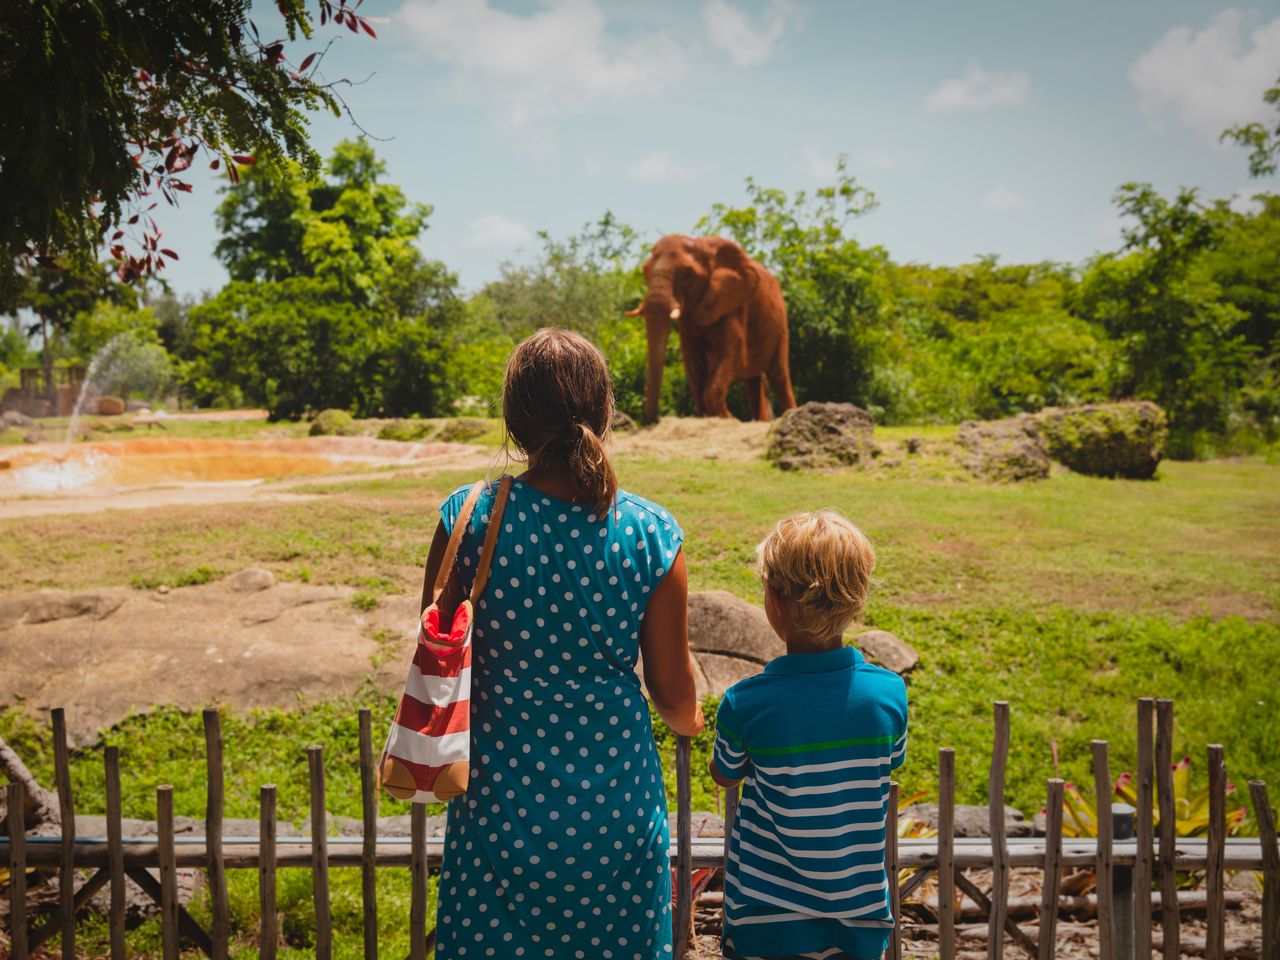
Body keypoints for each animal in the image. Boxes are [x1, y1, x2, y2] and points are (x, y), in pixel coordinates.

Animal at [624, 232, 793, 424]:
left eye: (687, 275)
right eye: (645, 272)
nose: (654, 420)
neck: (700, 244)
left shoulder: (731, 304)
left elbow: (731, 353)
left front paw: (728, 419)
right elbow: (692, 360)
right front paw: (712, 417)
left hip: (780, 324)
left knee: (779, 376)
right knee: (753, 382)